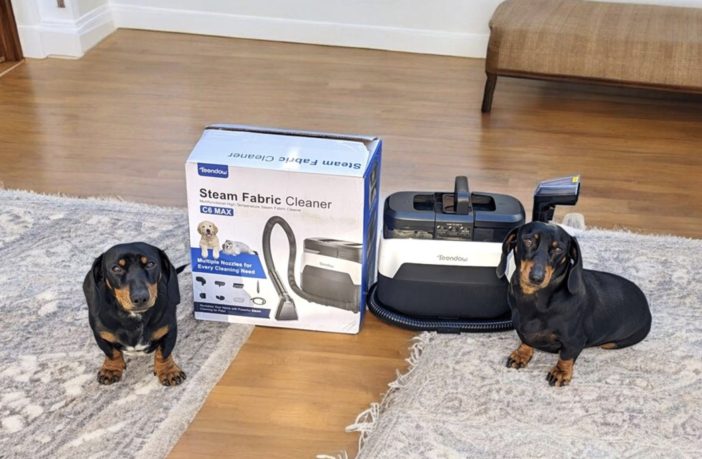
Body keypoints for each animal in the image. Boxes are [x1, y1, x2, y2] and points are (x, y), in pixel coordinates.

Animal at [83, 242, 186, 386]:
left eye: (150, 264)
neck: (133, 318)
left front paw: (169, 371)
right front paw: (111, 369)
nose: (140, 298)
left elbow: (163, 353)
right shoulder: (101, 335)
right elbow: (111, 353)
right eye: (116, 268)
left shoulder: (169, 330)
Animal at [496, 221, 651, 387]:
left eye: (558, 249)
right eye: (528, 240)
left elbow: (566, 357)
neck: (535, 299)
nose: (536, 278)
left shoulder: (574, 340)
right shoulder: (522, 328)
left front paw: (561, 372)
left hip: (615, 342)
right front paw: (521, 354)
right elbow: (526, 341)